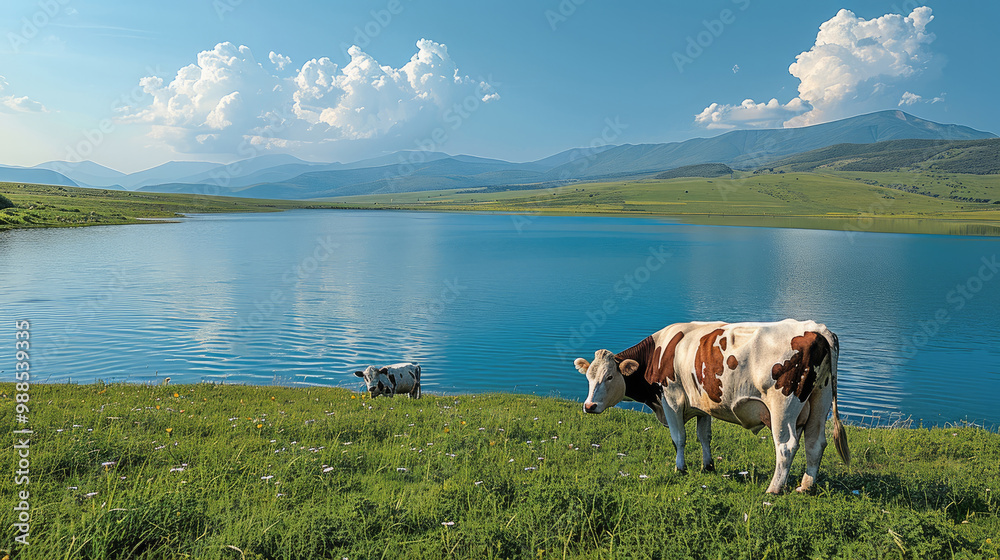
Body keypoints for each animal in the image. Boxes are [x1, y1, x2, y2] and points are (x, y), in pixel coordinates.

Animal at [576, 320, 848, 494]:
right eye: (588, 377)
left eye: (610, 377)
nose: (589, 405)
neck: (658, 352)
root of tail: (817, 329)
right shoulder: (701, 405)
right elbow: (704, 436)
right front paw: (707, 466)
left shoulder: (671, 398)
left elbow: (679, 438)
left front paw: (681, 469)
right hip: (819, 399)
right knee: (814, 443)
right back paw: (805, 487)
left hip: (783, 406)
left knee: (786, 446)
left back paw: (773, 490)